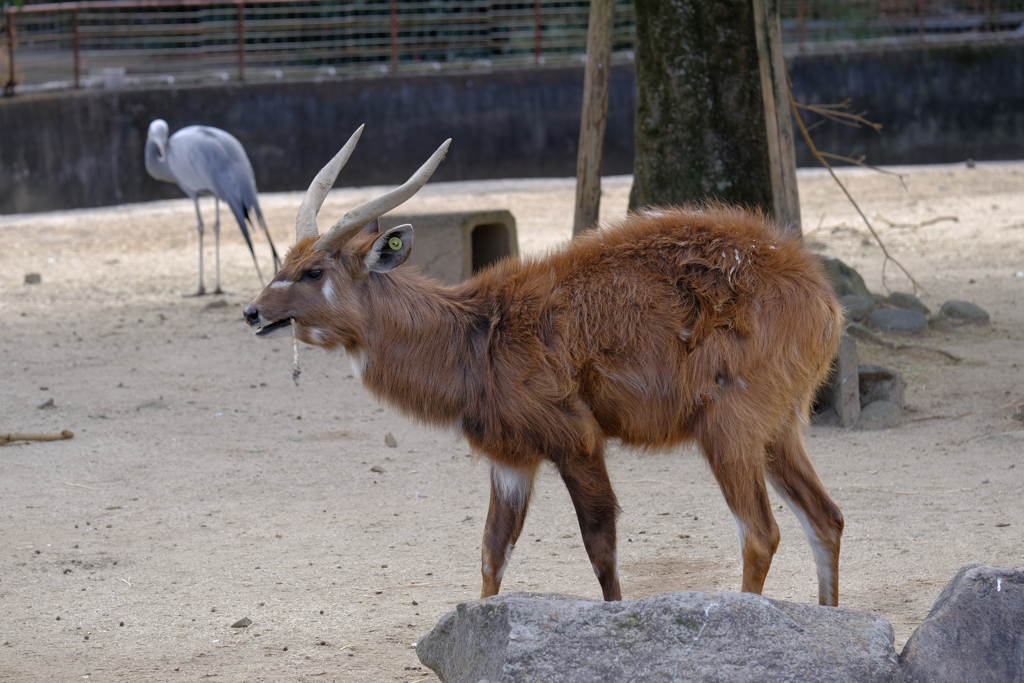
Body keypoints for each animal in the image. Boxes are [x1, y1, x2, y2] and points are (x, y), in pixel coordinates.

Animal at [243, 125, 843, 606]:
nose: (253, 312)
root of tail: (821, 295)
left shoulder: (577, 441)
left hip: (728, 427)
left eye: (314, 270)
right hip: (777, 431)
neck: (479, 332)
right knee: (826, 519)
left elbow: (601, 551)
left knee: (761, 532)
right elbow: (492, 553)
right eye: (285, 262)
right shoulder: (511, 461)